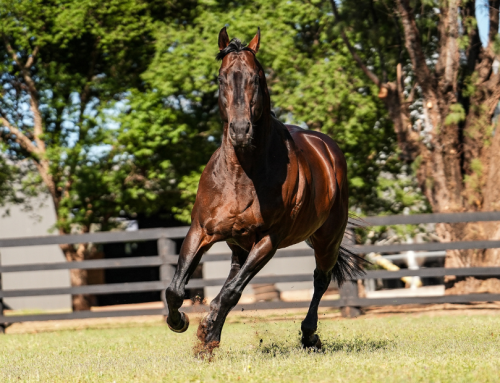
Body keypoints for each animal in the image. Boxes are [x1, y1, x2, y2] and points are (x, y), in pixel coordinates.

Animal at [166, 26, 366, 352]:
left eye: (256, 78)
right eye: (221, 78)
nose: (240, 131)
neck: (242, 175)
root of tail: (327, 148)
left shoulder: (268, 241)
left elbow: (231, 293)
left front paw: (204, 332)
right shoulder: (201, 231)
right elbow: (175, 289)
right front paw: (183, 323)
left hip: (327, 239)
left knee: (320, 280)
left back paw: (309, 336)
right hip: (238, 244)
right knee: (232, 278)